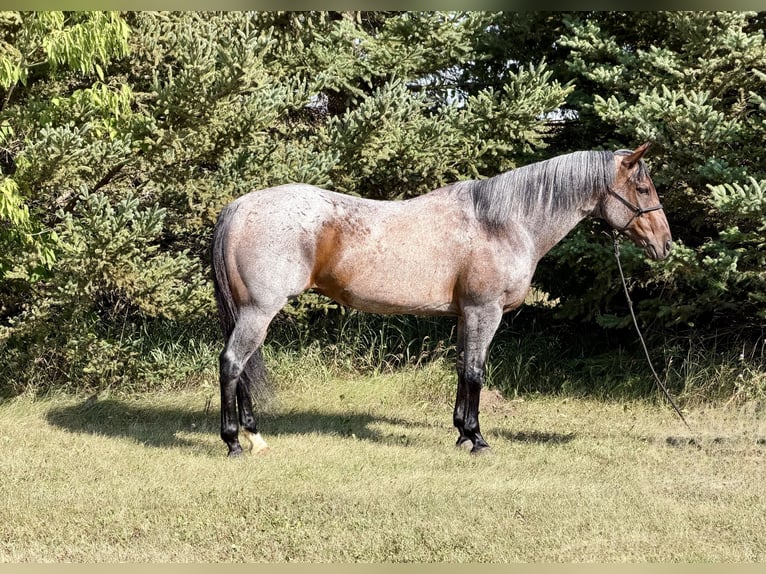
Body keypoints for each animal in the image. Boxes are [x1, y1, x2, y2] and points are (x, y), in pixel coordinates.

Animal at [211, 143, 672, 457]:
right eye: (643, 188)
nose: (665, 244)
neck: (502, 222)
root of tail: (239, 206)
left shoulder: (465, 315)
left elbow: (462, 369)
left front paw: (462, 432)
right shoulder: (485, 312)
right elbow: (476, 372)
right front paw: (478, 439)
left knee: (242, 368)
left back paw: (254, 436)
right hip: (259, 311)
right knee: (232, 364)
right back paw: (234, 442)